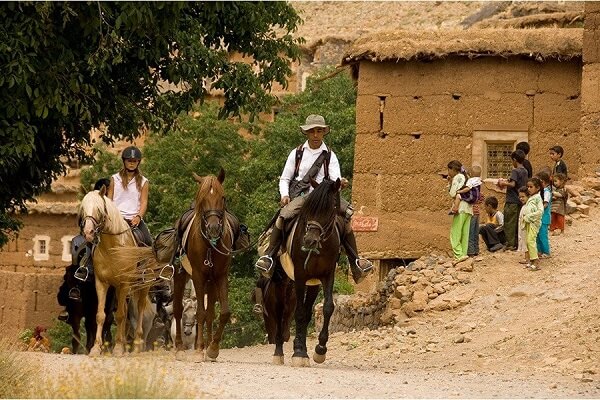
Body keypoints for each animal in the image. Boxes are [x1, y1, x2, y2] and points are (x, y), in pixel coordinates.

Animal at [79, 186, 151, 354]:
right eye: (83, 209)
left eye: (99, 209)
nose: (88, 233)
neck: (113, 247)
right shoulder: (102, 283)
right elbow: (101, 315)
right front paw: (96, 348)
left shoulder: (124, 284)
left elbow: (119, 316)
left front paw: (118, 349)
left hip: (143, 285)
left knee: (140, 308)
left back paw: (136, 345)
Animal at [171, 169, 234, 360]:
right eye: (202, 198)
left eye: (223, 197)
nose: (213, 228)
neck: (210, 245)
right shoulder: (198, 276)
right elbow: (199, 312)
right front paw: (199, 350)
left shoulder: (220, 276)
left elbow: (222, 312)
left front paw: (212, 348)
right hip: (181, 276)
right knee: (178, 309)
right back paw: (180, 348)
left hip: (210, 283)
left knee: (210, 313)